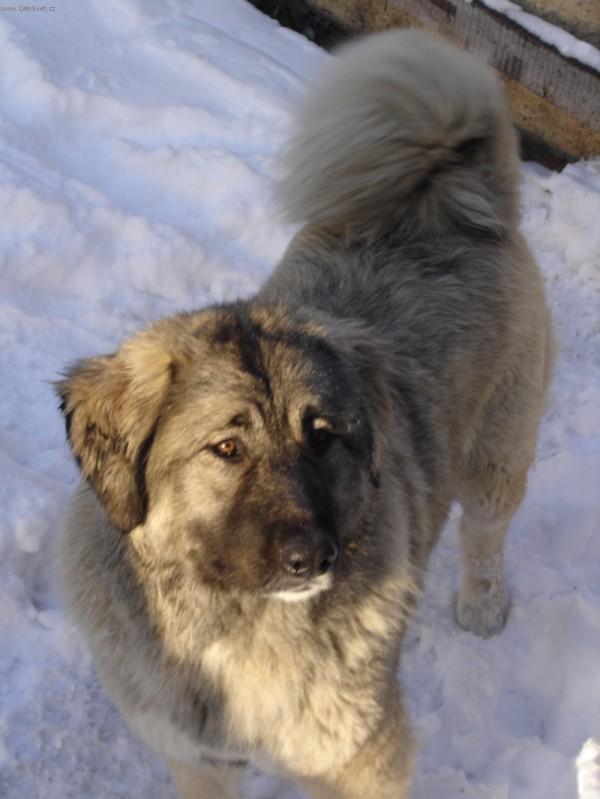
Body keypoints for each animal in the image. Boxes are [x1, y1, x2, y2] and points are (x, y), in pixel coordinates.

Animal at [56, 29, 552, 799]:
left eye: (324, 438)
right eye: (227, 448)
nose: (315, 557)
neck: (230, 624)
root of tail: (448, 190)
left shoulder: (359, 756)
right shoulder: (197, 754)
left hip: (496, 453)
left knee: (486, 532)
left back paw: (482, 605)